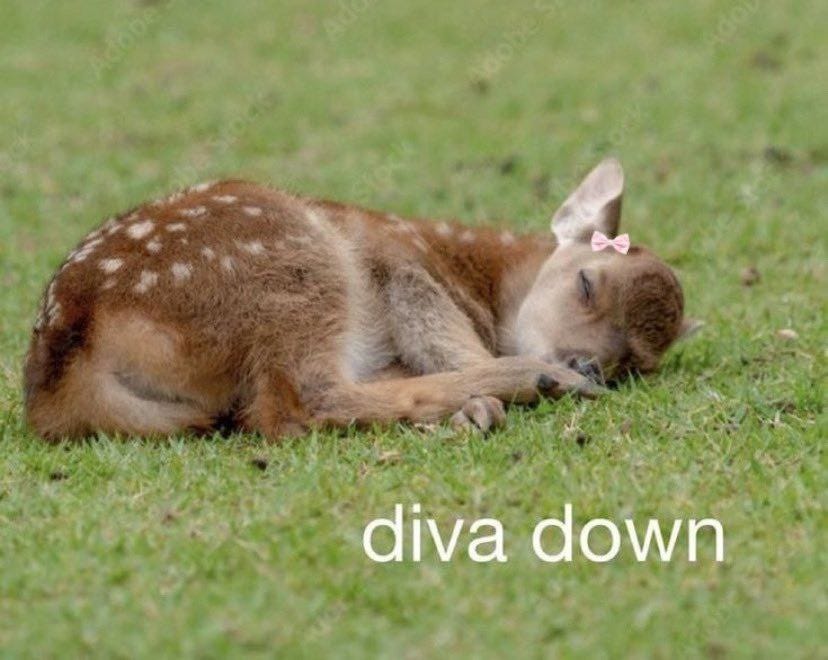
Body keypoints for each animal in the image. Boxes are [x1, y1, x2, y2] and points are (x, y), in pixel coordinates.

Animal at [23, 157, 700, 442]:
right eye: (586, 283)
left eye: (634, 362)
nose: (591, 366)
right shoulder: (396, 259)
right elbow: (431, 319)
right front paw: (509, 390)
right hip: (296, 266)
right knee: (301, 403)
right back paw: (528, 382)